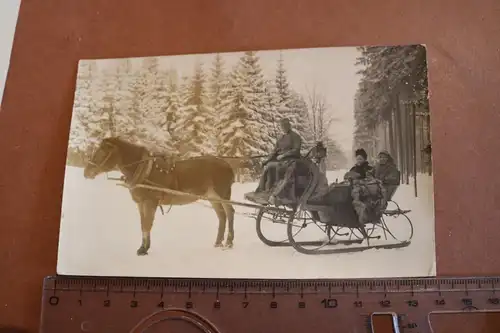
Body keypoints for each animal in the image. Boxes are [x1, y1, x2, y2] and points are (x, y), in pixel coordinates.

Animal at [82, 136, 236, 255]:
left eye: (103, 150)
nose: (86, 172)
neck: (143, 170)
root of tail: (228, 165)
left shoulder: (150, 201)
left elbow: (147, 224)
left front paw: (144, 250)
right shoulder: (140, 203)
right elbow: (142, 224)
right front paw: (143, 247)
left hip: (223, 193)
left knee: (230, 212)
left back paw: (229, 242)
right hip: (212, 196)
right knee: (221, 216)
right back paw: (218, 243)